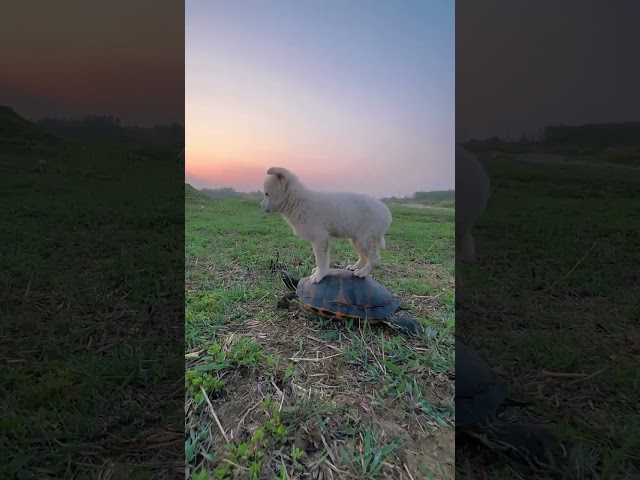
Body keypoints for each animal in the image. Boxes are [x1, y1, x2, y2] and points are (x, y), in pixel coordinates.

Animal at [258, 167, 390, 284]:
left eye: (267, 194)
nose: (260, 206)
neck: (297, 201)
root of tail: (387, 212)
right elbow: (320, 260)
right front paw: (318, 272)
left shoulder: (321, 238)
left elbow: (321, 260)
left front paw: (319, 275)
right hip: (357, 239)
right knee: (363, 256)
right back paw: (355, 267)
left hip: (366, 238)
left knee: (374, 258)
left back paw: (363, 272)